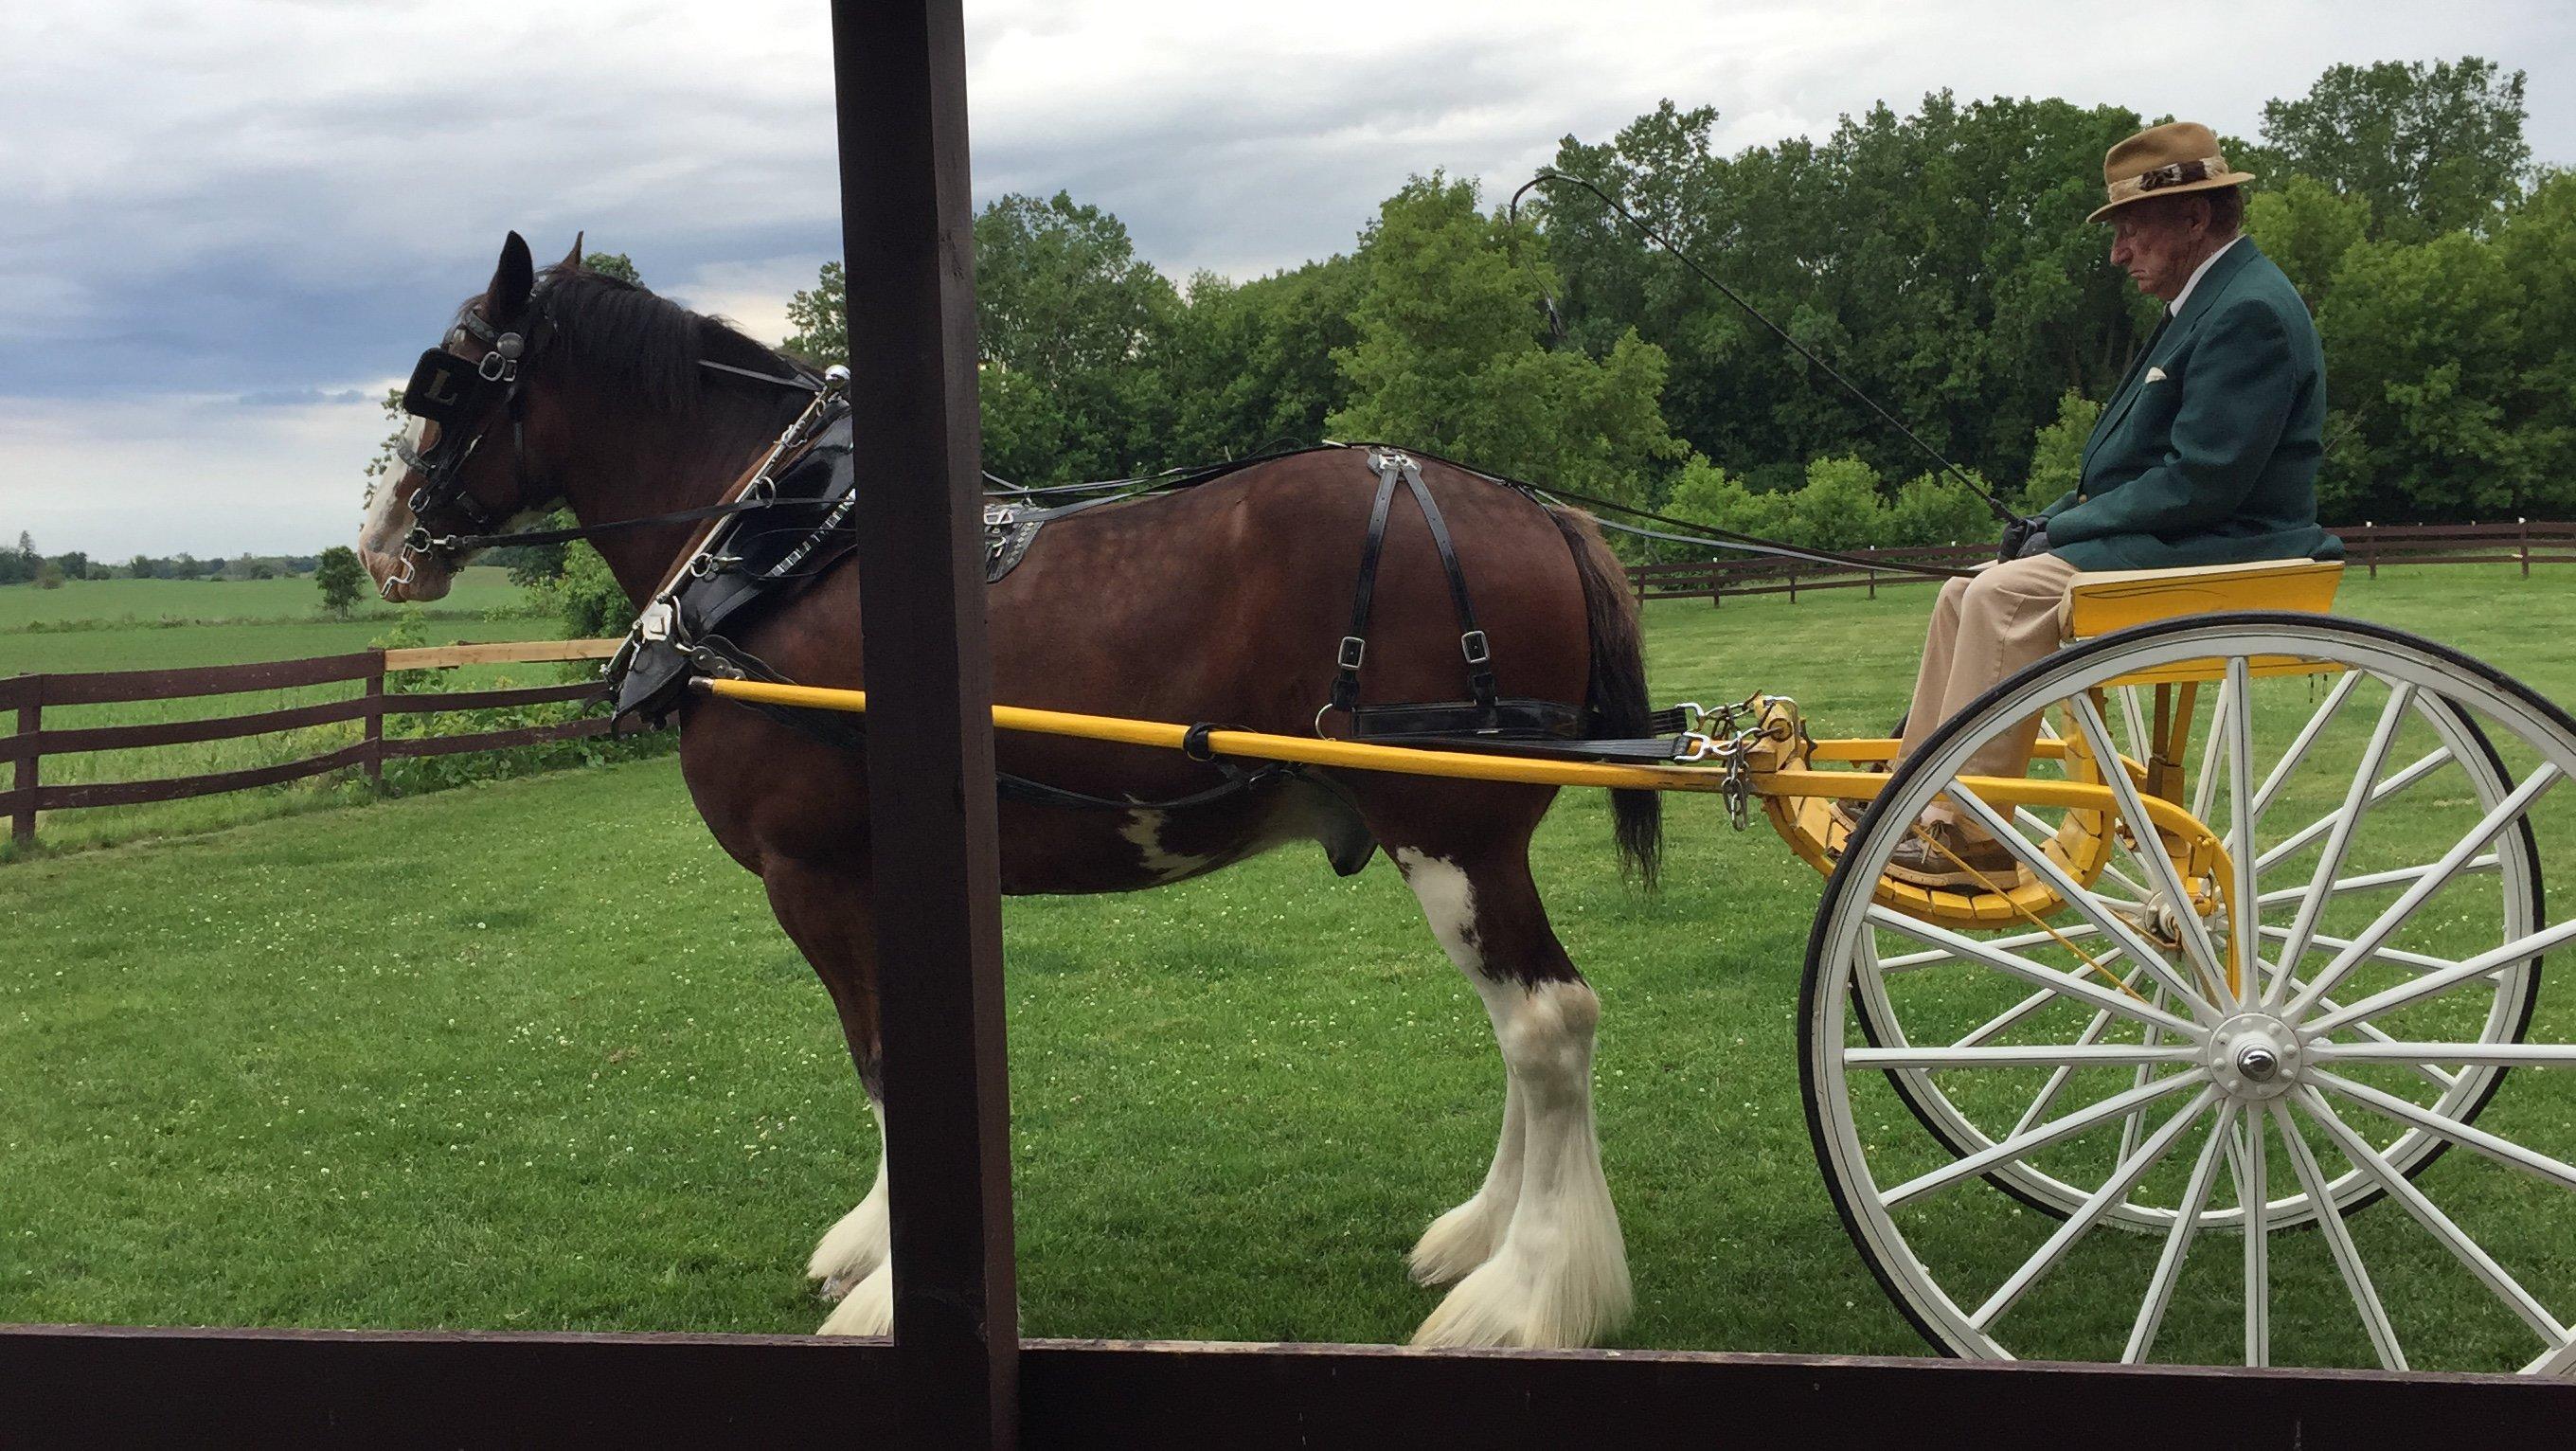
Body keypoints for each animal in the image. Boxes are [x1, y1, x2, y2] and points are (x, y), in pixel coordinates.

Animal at [358, 235, 1669, 1350]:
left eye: (448, 380)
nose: (381, 544)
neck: (783, 550)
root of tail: (1537, 509)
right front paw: (874, 1241)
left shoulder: (814, 873)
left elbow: (880, 1067)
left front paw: (891, 1288)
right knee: (1524, 1031)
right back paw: (1480, 1236)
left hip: (1447, 833)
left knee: (1547, 1024)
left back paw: (1525, 1292)